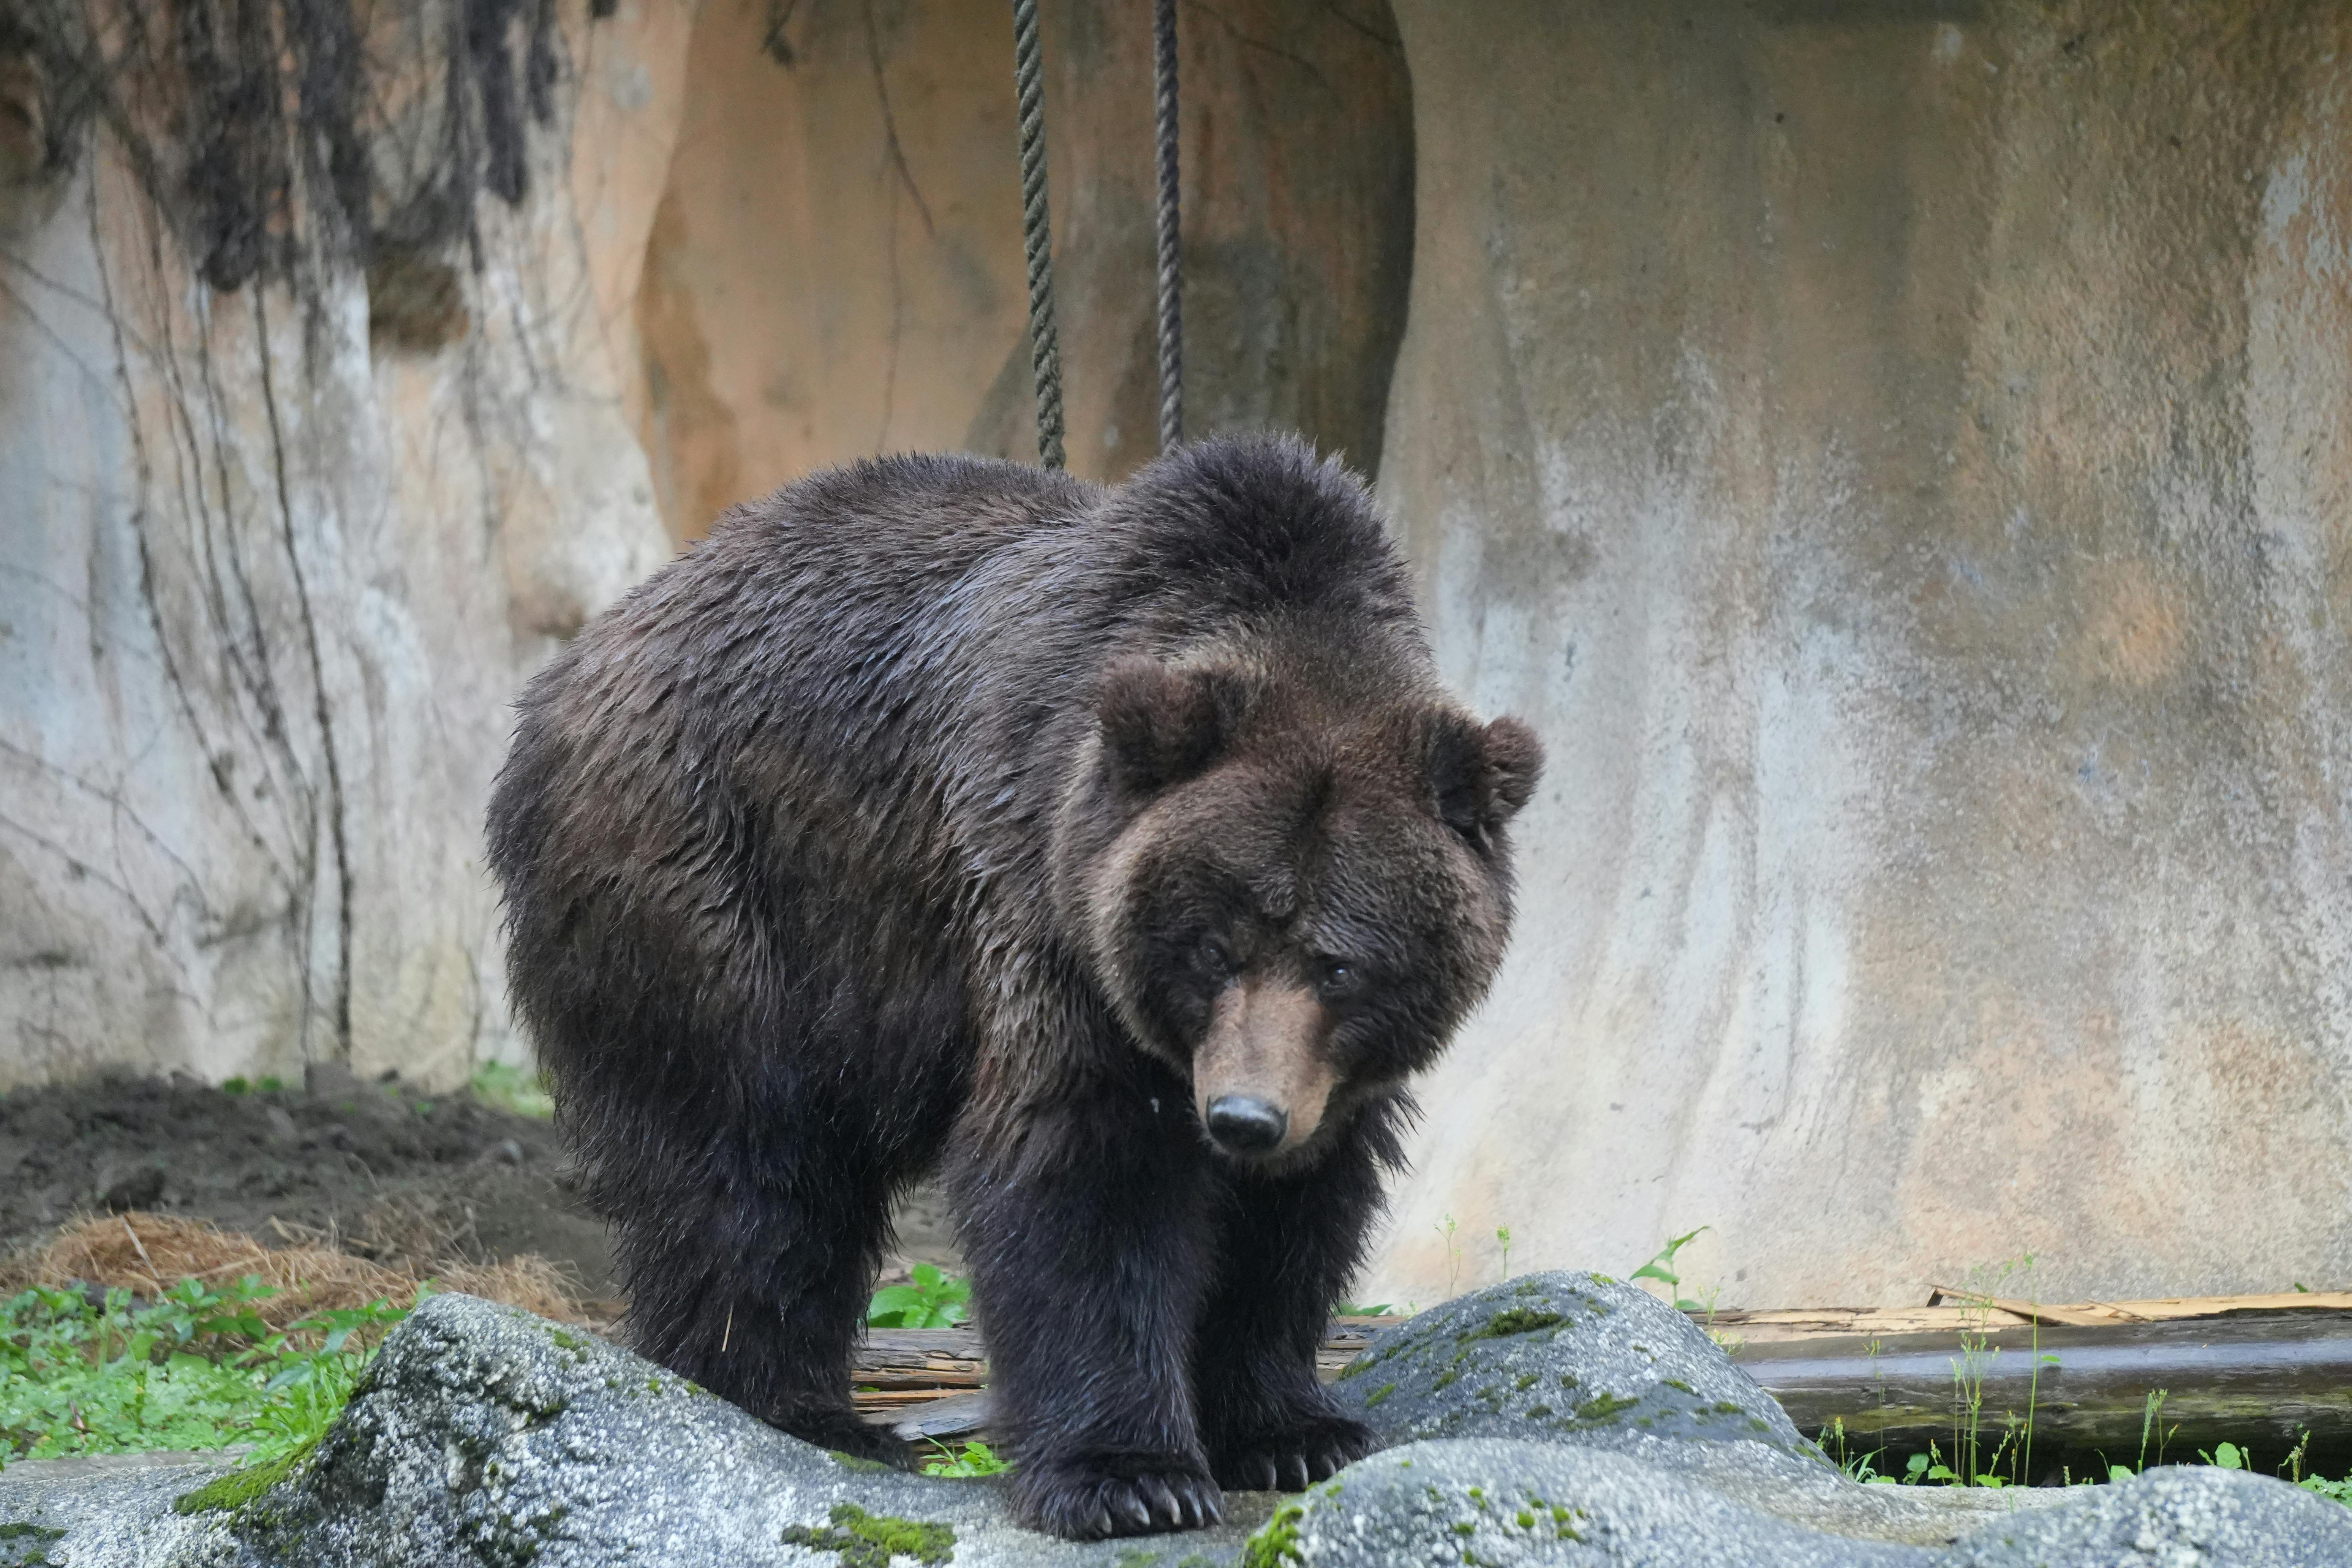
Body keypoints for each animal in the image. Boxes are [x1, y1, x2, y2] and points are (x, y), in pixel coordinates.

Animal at [484, 435, 1542, 1540]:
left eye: (1339, 962)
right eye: (1213, 947)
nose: (1244, 1118)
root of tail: (572, 666)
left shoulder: (1319, 1072)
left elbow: (1301, 1209)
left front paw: (1291, 1430)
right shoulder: (1045, 906)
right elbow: (1080, 1174)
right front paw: (1130, 1475)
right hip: (713, 882)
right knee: (749, 1165)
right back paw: (794, 1404)